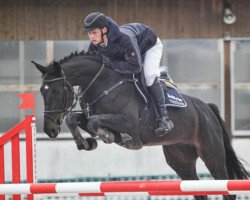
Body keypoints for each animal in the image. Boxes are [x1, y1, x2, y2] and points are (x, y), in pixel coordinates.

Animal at [32, 51, 248, 200]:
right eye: (42, 91)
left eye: (58, 91)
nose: (50, 130)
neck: (102, 84)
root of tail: (207, 108)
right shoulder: (91, 117)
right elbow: (75, 119)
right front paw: (86, 143)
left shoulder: (129, 124)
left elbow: (97, 123)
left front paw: (108, 136)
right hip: (180, 160)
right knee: (198, 189)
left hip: (212, 154)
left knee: (226, 186)